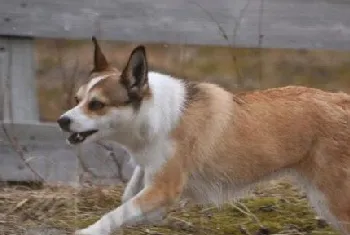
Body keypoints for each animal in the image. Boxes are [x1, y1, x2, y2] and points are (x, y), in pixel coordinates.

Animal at [56, 37, 350, 235]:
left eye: (96, 105)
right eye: (77, 99)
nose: (62, 121)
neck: (153, 116)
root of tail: (343, 100)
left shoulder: (163, 190)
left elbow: (116, 214)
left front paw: (87, 231)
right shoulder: (154, 193)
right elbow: (129, 197)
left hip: (334, 201)